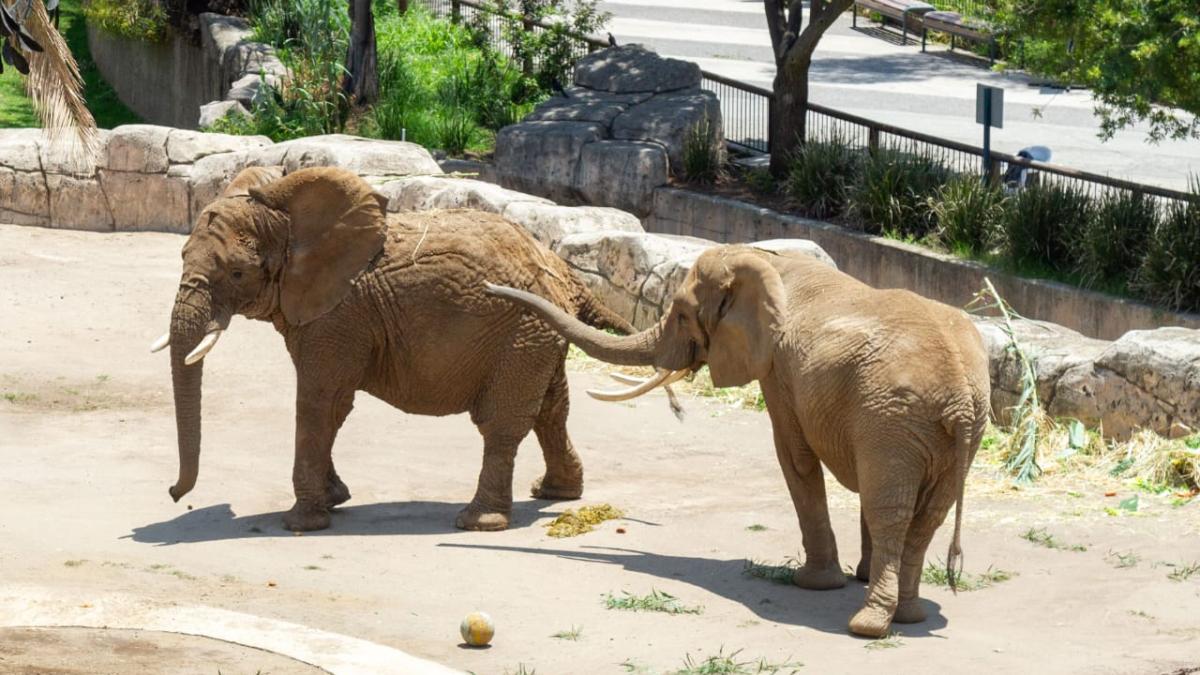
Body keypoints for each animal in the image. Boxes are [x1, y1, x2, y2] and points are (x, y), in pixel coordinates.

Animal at [153, 164, 633, 530]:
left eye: (236, 273)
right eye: (181, 257)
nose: (174, 493)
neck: (287, 218)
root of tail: (566, 275)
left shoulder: (340, 314)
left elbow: (320, 401)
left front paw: (302, 523)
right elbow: (332, 407)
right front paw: (334, 499)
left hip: (521, 332)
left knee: (502, 422)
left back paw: (478, 522)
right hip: (538, 334)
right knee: (552, 410)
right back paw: (555, 492)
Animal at [482, 242, 988, 634]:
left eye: (682, 315)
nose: (488, 289)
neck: (766, 260)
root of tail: (961, 400)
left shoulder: (779, 368)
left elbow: (794, 456)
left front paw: (814, 584)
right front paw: (853, 577)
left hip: (894, 422)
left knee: (893, 511)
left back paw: (868, 625)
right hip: (934, 429)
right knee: (928, 517)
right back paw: (909, 616)